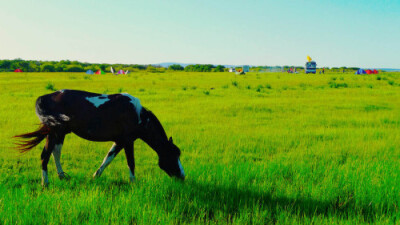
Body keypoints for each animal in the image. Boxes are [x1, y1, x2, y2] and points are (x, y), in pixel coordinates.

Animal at [13, 89, 186, 186]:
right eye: (173, 154)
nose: (182, 176)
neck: (137, 114)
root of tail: (45, 97)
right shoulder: (128, 141)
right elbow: (131, 163)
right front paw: (133, 183)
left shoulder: (119, 141)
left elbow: (107, 159)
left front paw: (95, 176)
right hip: (54, 132)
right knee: (45, 155)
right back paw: (46, 183)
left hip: (60, 133)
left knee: (55, 153)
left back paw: (62, 177)